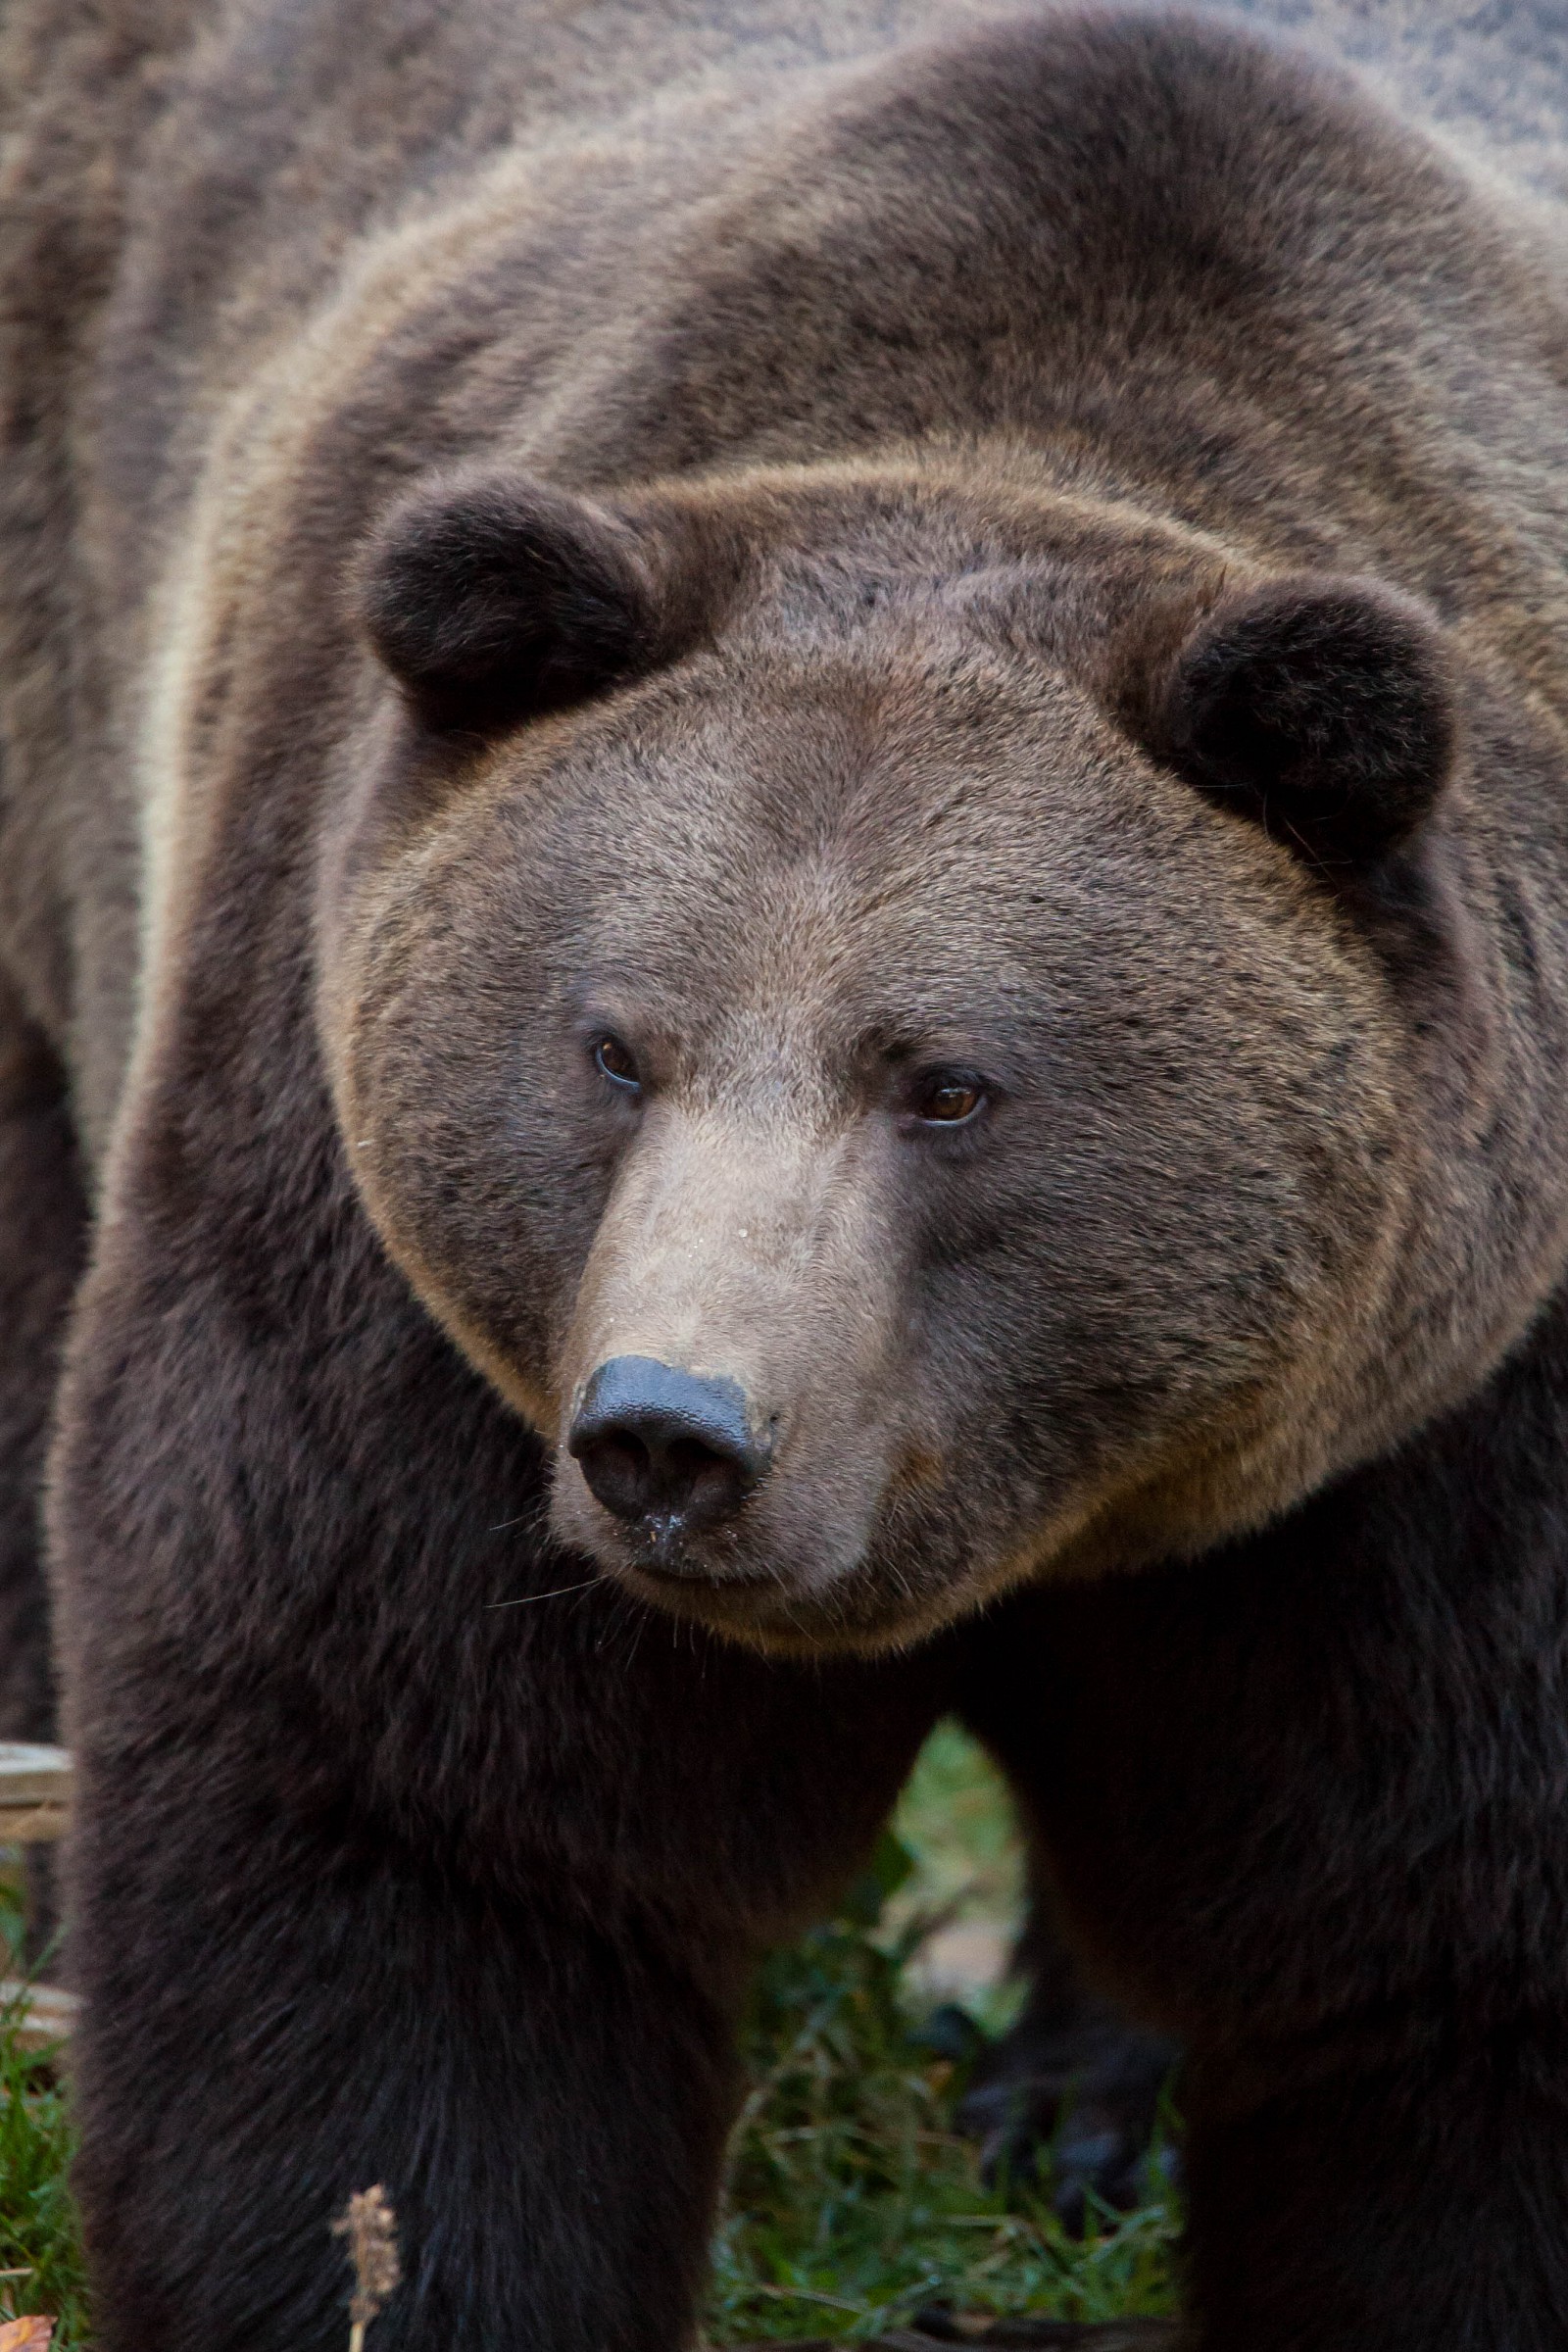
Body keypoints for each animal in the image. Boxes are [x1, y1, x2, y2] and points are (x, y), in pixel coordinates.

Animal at [7, 0, 1568, 2345]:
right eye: (612, 1044)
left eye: (950, 1083)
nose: (674, 1433)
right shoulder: (392, 1299)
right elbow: (415, 1860)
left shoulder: (1448, 1417)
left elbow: (1451, 1977)